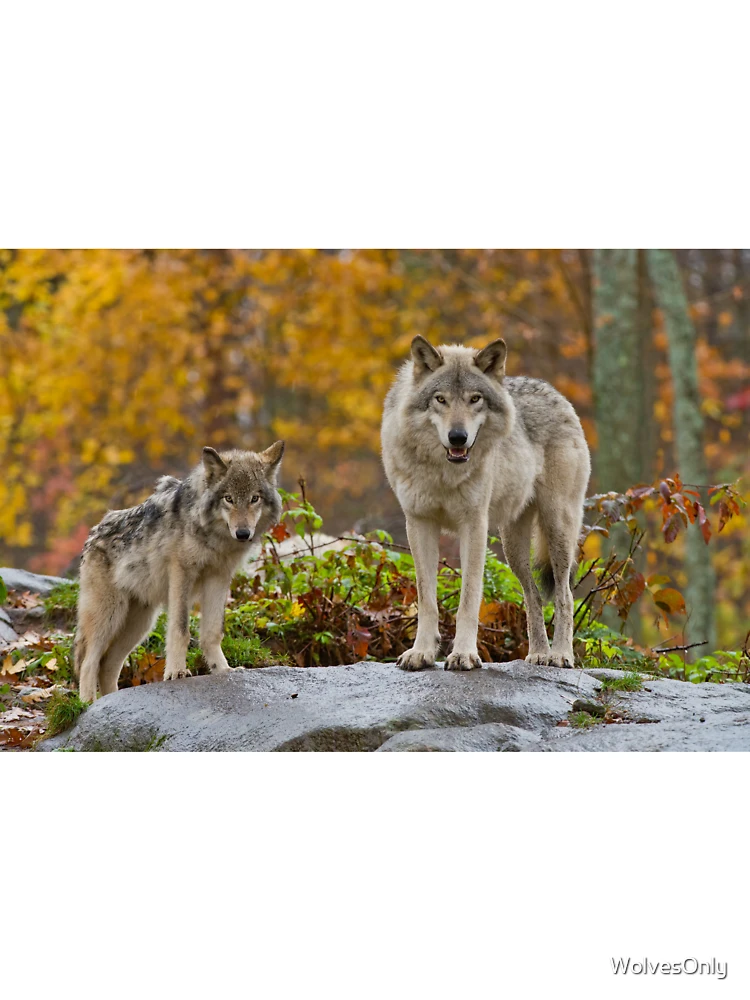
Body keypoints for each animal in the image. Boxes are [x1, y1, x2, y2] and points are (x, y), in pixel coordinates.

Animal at [74, 441, 284, 702]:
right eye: (229, 499)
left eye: (255, 498)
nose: (243, 533)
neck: (214, 538)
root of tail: (93, 534)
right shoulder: (181, 572)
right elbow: (180, 629)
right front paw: (176, 672)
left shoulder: (219, 577)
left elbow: (212, 631)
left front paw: (222, 670)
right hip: (110, 616)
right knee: (89, 662)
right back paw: (88, 703)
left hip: (139, 625)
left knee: (107, 666)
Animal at [381, 336, 590, 671]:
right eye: (440, 399)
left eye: (475, 399)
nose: (457, 437)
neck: (444, 472)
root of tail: (555, 392)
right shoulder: (418, 523)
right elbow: (426, 599)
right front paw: (422, 652)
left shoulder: (474, 525)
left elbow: (469, 599)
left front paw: (464, 654)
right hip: (513, 547)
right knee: (532, 596)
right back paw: (538, 654)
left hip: (558, 529)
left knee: (564, 594)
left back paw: (560, 654)